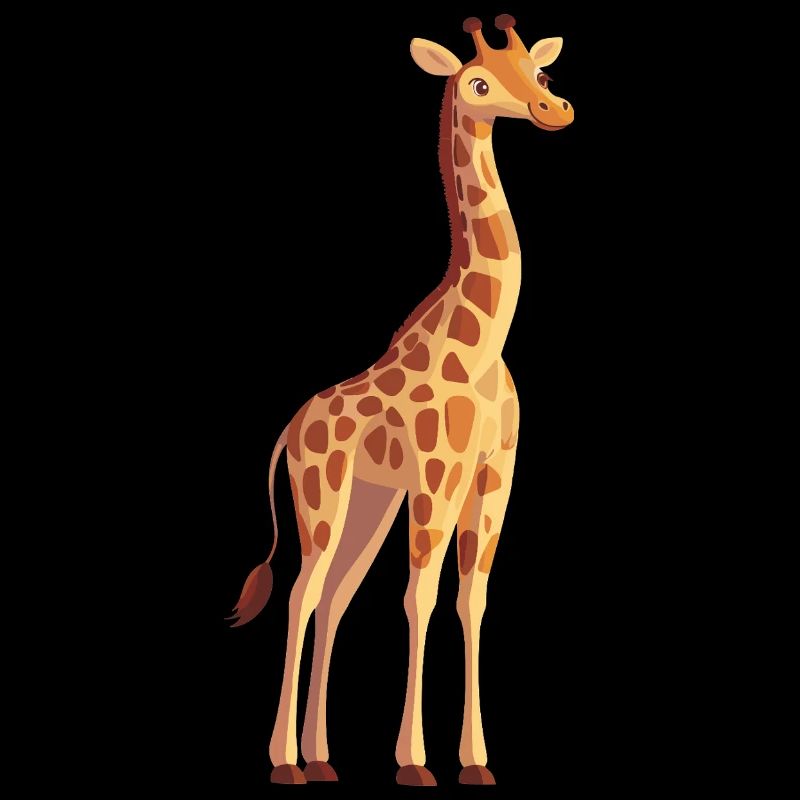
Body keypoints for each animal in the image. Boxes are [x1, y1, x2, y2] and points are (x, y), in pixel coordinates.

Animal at [228, 14, 574, 787]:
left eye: (537, 73)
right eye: (478, 84)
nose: (554, 109)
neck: (481, 344)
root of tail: (289, 430)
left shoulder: (494, 475)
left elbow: (472, 600)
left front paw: (475, 762)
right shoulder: (438, 474)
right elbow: (420, 597)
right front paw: (414, 763)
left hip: (369, 502)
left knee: (334, 599)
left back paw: (323, 758)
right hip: (322, 497)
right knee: (301, 595)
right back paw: (285, 762)